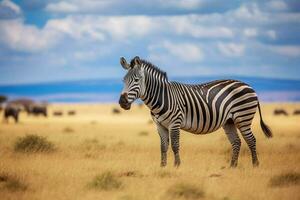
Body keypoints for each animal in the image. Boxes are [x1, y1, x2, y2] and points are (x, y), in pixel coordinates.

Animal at [118, 55, 274, 167]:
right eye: (123, 80)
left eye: (136, 80)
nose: (122, 102)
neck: (162, 97)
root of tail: (249, 86)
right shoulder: (160, 125)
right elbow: (163, 147)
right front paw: (162, 167)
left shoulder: (175, 123)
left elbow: (175, 145)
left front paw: (177, 166)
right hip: (229, 121)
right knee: (236, 142)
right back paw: (232, 166)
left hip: (243, 117)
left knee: (251, 140)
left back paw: (255, 165)